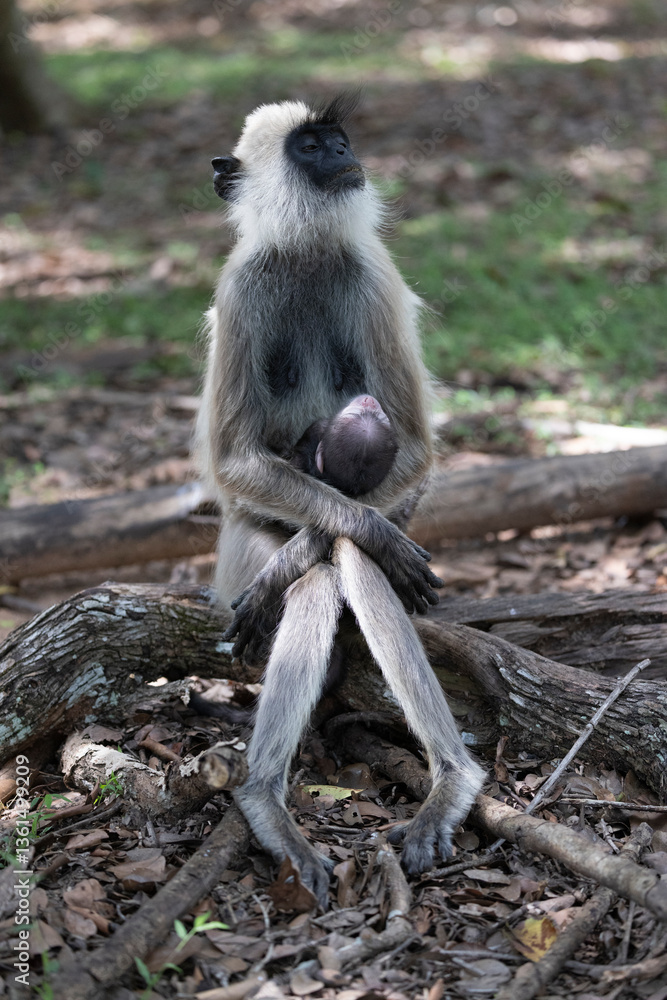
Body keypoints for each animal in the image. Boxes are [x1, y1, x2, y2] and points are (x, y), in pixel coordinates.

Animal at [197, 96, 485, 905]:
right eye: (310, 146)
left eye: (336, 140)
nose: (342, 156)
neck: (305, 251)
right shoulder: (240, 286)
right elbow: (235, 462)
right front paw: (297, 552)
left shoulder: (371, 271)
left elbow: (412, 449)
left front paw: (352, 532)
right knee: (317, 578)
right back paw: (266, 802)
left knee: (354, 561)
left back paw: (450, 782)